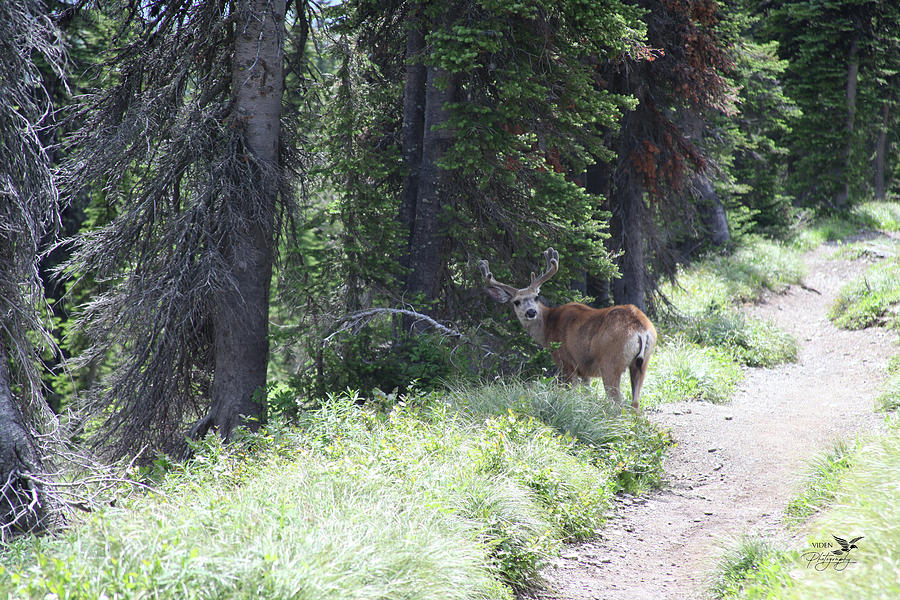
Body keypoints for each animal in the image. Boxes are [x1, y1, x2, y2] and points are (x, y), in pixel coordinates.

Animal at [478, 247, 652, 408]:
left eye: (536, 297)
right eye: (516, 302)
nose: (531, 312)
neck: (548, 326)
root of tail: (640, 329)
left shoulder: (567, 362)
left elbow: (572, 393)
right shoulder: (584, 369)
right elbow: (587, 393)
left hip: (611, 362)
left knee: (617, 401)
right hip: (642, 362)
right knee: (635, 403)